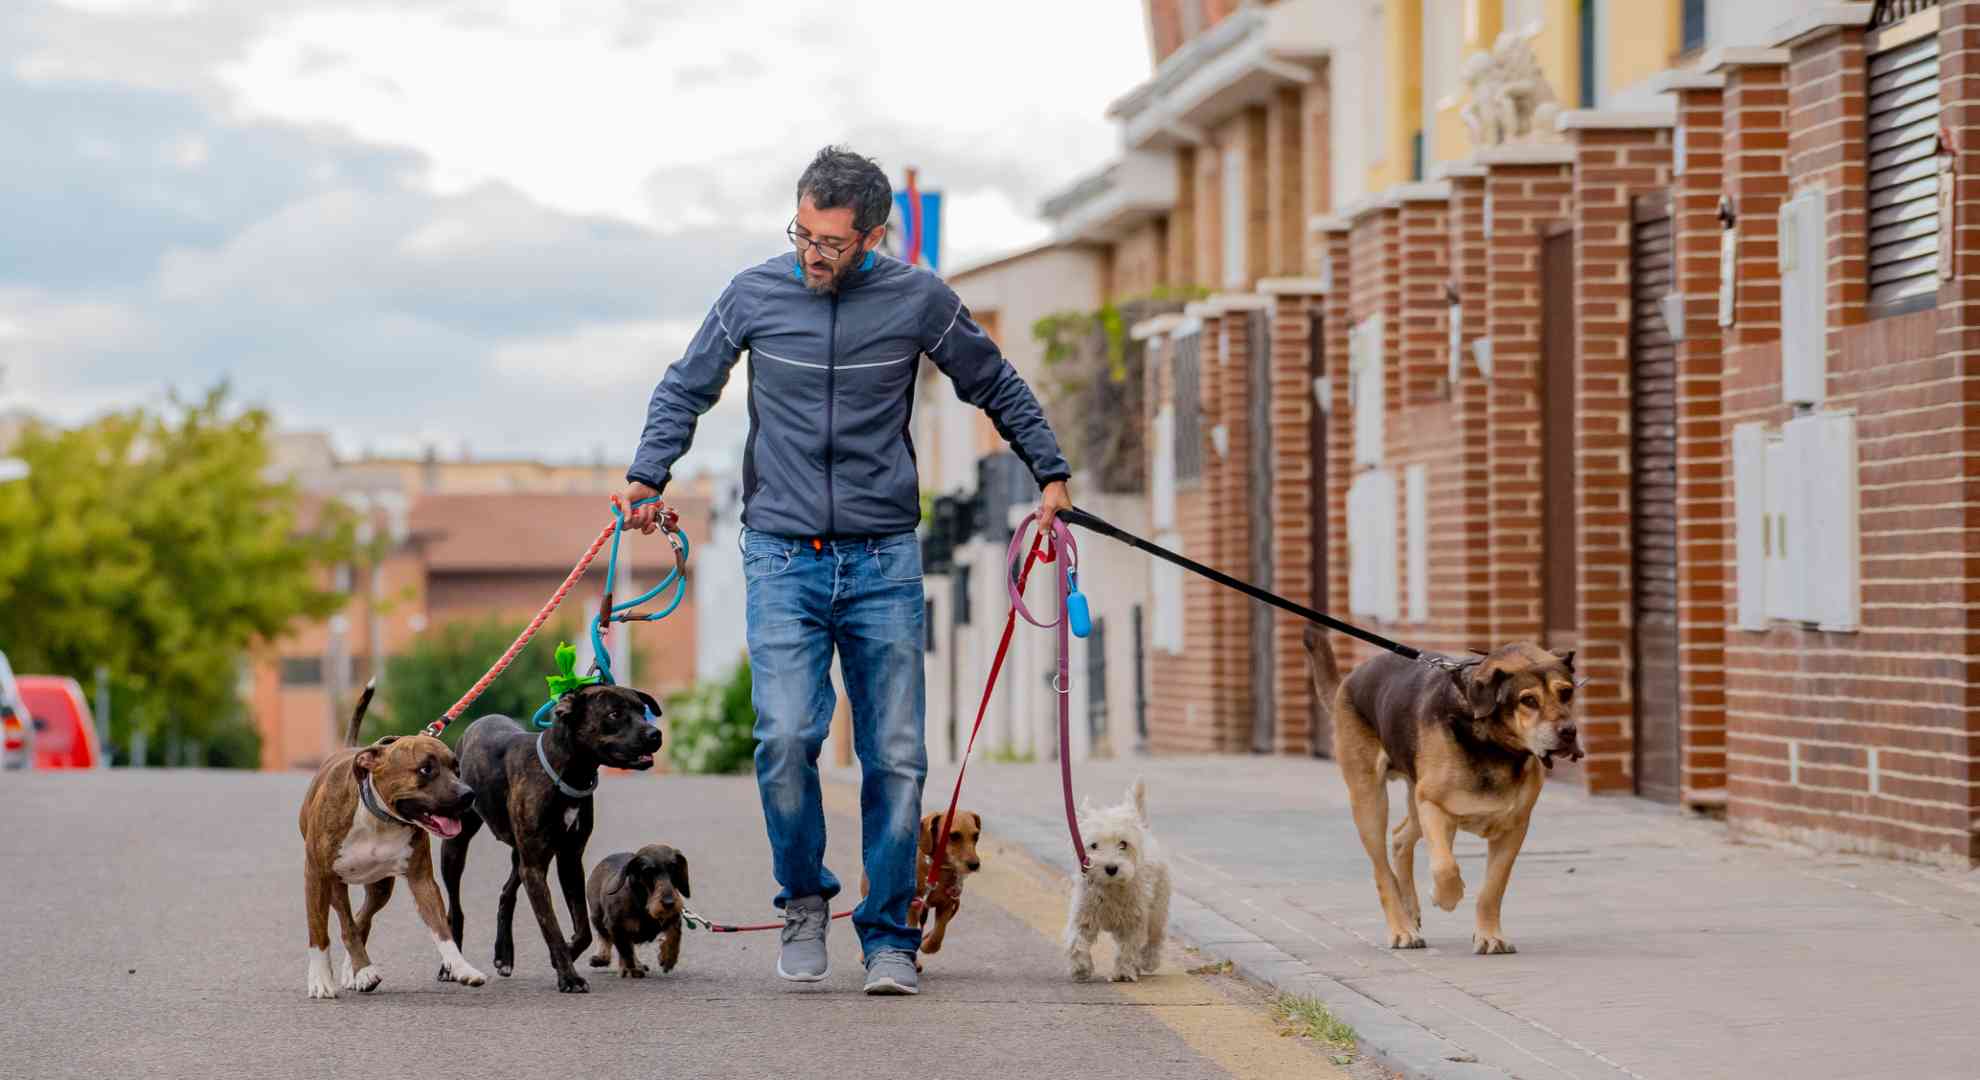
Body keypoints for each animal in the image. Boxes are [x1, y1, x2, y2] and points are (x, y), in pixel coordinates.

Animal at [297, 685, 491, 998]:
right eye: (425, 769)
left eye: (457, 769)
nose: (468, 794)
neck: (379, 818)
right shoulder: (316, 875)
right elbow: (320, 931)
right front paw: (321, 979)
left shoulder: (422, 880)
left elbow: (442, 930)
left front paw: (462, 968)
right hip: (334, 883)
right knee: (347, 922)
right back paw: (358, 969)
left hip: (379, 887)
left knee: (361, 918)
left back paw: (356, 970)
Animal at [437, 681, 661, 994]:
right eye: (614, 714)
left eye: (642, 710)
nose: (655, 734)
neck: (565, 771)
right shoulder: (536, 867)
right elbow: (551, 926)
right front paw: (569, 977)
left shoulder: (568, 860)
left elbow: (583, 929)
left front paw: (564, 957)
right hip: (457, 846)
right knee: (455, 909)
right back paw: (450, 965)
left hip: (521, 856)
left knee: (506, 893)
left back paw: (504, 955)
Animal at [1069, 780, 1172, 982]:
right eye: (1094, 845)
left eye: (1123, 844)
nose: (1111, 868)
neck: (1111, 887)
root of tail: (1144, 829)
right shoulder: (1083, 915)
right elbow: (1077, 941)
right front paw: (1081, 968)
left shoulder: (1134, 920)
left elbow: (1128, 948)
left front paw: (1124, 972)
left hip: (1158, 907)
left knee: (1155, 936)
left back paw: (1149, 961)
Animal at [1306, 626, 1584, 955]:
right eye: (1528, 700)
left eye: (1566, 692)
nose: (1569, 732)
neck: (1492, 742)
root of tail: (1349, 680)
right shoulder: (1434, 807)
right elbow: (1445, 866)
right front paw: (1446, 897)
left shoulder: (1514, 827)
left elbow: (1493, 888)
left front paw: (1490, 936)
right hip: (1371, 801)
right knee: (1382, 870)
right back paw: (1402, 928)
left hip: (1414, 795)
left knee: (1400, 837)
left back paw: (1410, 910)